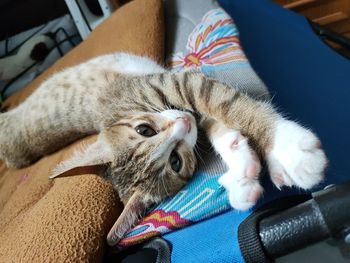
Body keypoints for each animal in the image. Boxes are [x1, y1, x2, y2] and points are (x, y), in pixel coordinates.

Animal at [0, 52, 328, 246]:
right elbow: (218, 125)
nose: (182, 121)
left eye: (144, 129)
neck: (119, 111)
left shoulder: (181, 85)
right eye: (176, 162)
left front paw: (285, 148)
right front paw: (242, 174)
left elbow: (229, 106)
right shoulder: (189, 111)